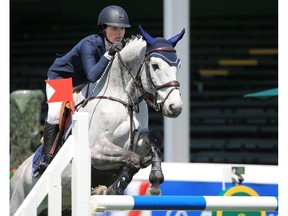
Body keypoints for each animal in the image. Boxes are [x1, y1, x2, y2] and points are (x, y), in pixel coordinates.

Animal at [10, 24, 186, 214]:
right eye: (155, 65)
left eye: (179, 65)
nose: (175, 107)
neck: (124, 98)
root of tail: (16, 175)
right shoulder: (95, 150)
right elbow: (132, 159)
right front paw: (113, 189)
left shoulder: (139, 142)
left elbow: (152, 141)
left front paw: (155, 182)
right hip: (20, 201)